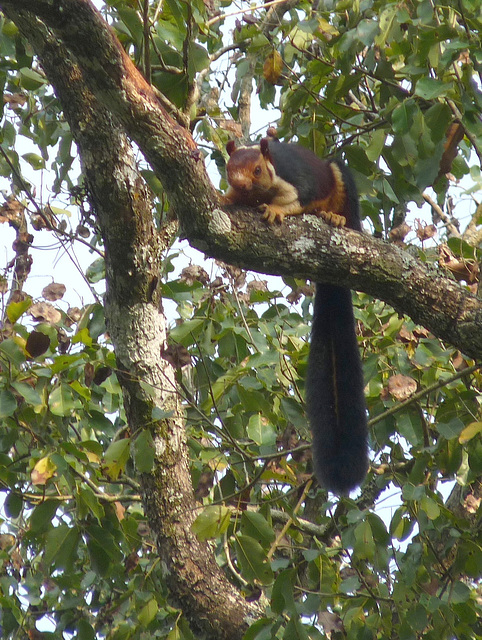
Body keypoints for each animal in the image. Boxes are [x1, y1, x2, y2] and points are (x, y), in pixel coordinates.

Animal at [222, 135, 370, 496]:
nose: (240, 184)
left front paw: (275, 209)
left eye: (257, 169)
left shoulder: (297, 180)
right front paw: (225, 197)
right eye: (229, 169)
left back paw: (335, 219)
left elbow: (297, 200)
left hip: (340, 182)